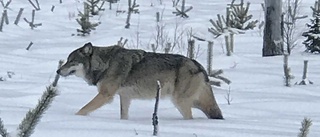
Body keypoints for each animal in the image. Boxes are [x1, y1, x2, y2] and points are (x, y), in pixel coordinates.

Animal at [57, 42, 222, 120]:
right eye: (67, 60)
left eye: (71, 61)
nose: (58, 71)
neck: (106, 63)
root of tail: (199, 65)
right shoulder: (124, 97)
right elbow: (123, 116)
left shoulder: (105, 95)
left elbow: (82, 110)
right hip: (192, 103)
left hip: (181, 102)